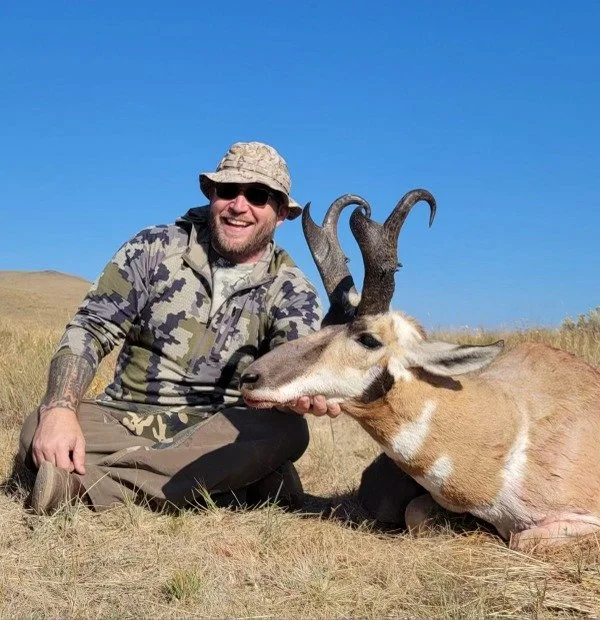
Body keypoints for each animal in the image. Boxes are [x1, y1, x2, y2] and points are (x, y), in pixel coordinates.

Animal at [240, 191, 600, 552]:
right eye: (326, 324)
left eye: (369, 339)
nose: (250, 377)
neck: (512, 424)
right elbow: (415, 513)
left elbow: (521, 539)